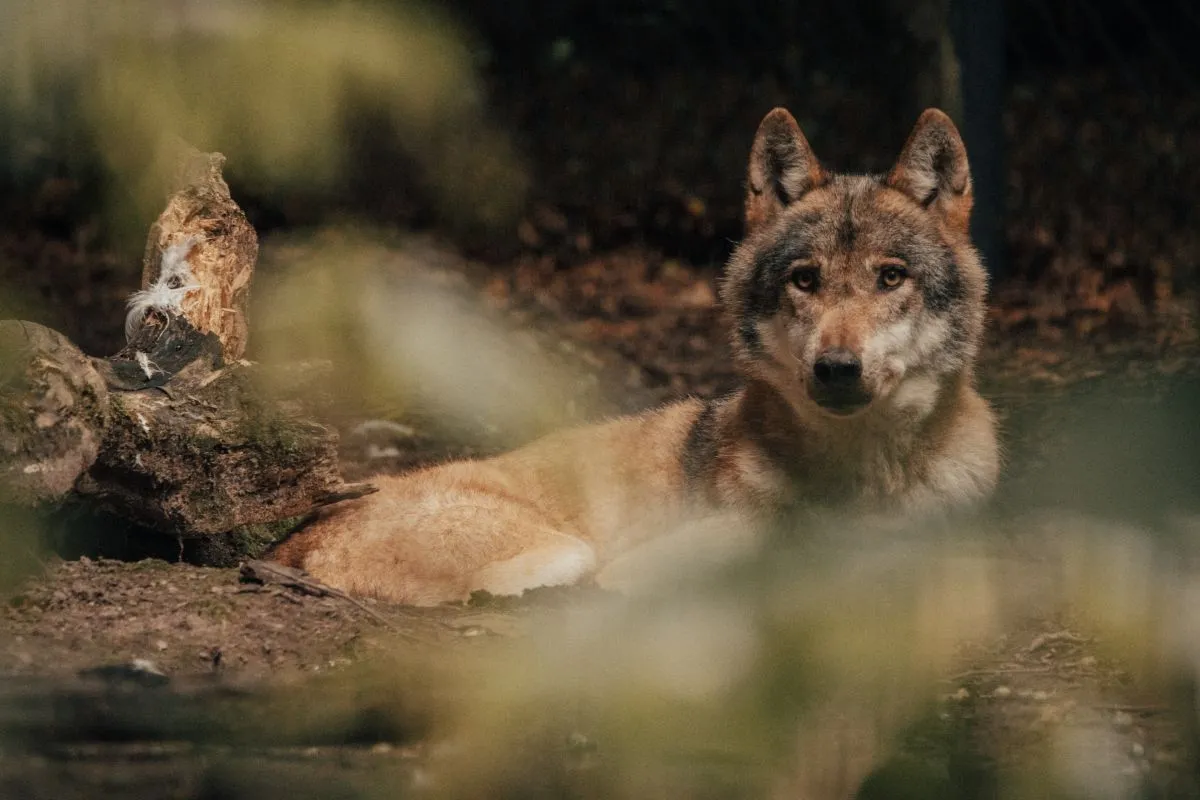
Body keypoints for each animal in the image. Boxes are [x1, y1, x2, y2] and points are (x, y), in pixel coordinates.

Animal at [269, 107, 999, 605]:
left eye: (891, 277)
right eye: (805, 279)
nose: (837, 368)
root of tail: (295, 537)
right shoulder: (644, 568)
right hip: (568, 552)